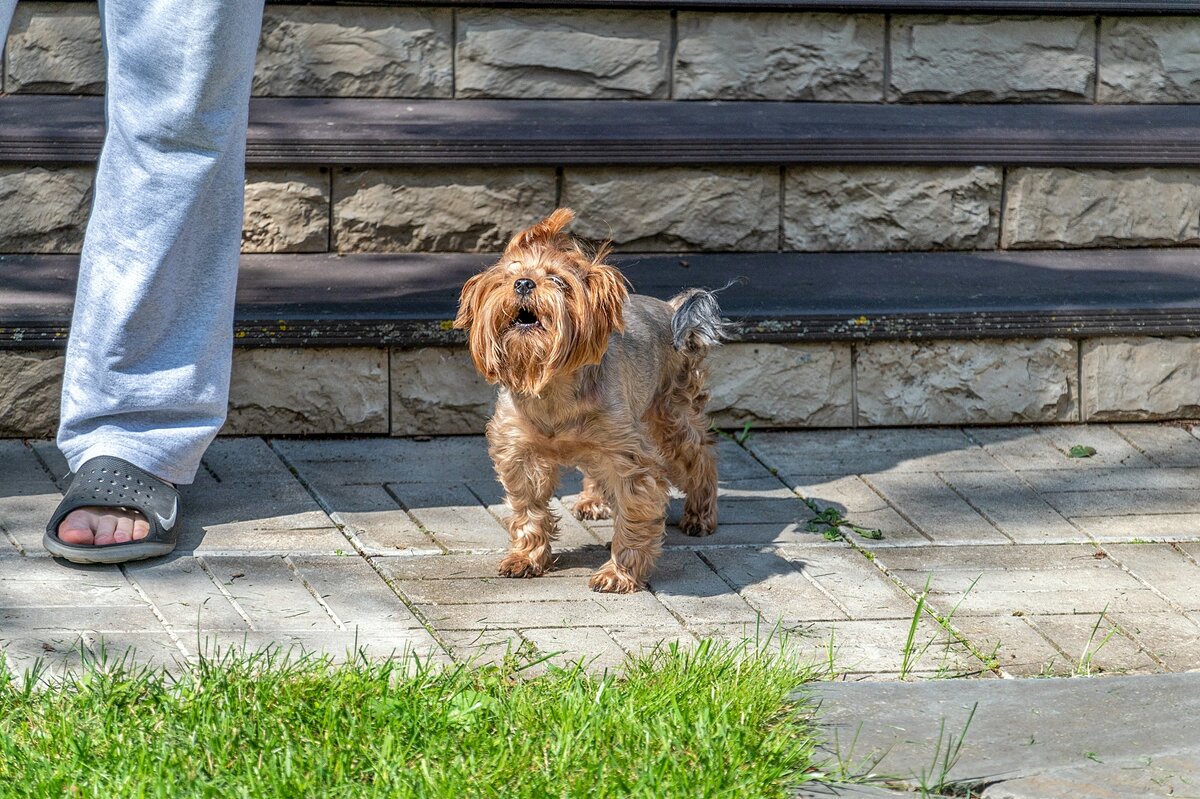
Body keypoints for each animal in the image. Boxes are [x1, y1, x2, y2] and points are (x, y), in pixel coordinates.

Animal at [453, 206, 720, 590]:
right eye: (509, 276)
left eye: (559, 281)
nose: (524, 284)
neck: (551, 383)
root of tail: (671, 309)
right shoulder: (519, 451)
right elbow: (528, 507)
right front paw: (526, 557)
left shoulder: (630, 457)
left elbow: (635, 513)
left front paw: (619, 573)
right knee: (597, 468)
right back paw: (594, 499)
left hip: (669, 414)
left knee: (699, 455)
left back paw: (700, 515)